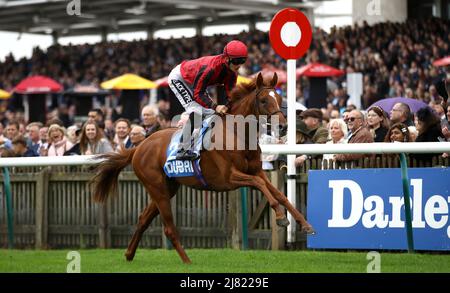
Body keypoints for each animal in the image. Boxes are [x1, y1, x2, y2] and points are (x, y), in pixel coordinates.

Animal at [92, 71, 312, 262]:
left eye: (280, 99)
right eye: (264, 100)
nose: (283, 126)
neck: (237, 133)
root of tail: (139, 147)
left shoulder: (257, 170)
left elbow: (278, 192)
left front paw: (305, 224)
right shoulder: (229, 178)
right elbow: (260, 185)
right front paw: (280, 216)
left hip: (167, 187)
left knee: (143, 220)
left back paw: (129, 254)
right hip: (157, 187)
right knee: (169, 228)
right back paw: (187, 261)